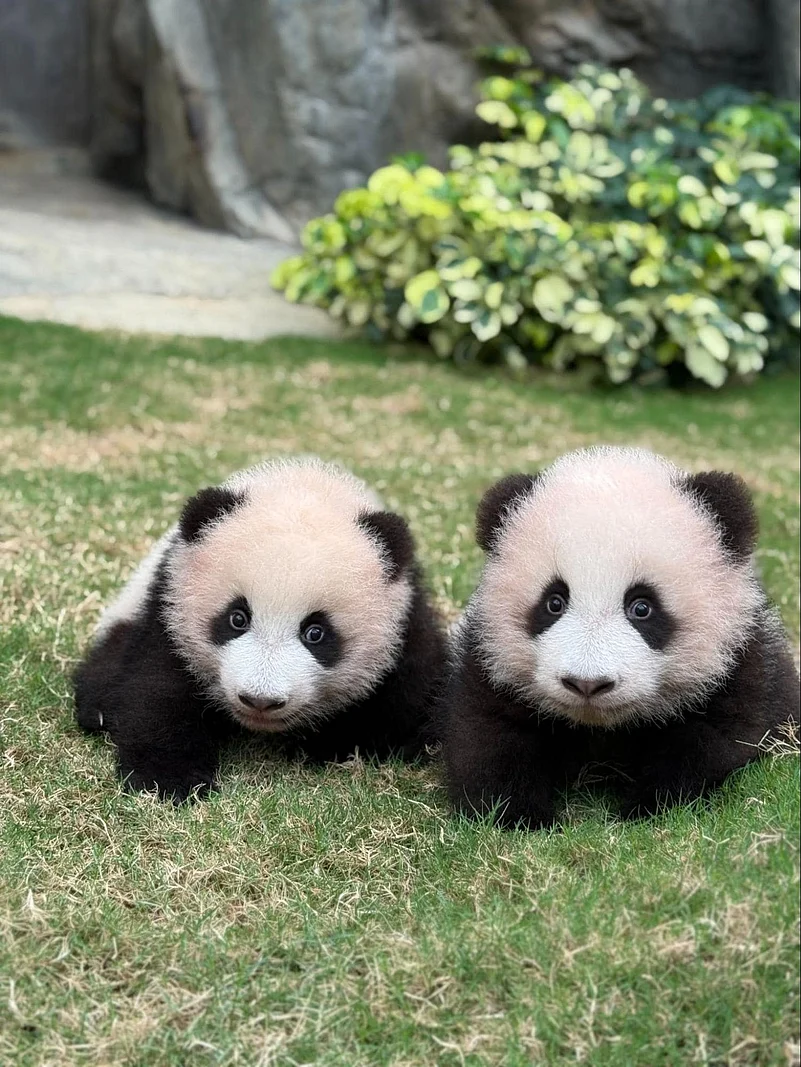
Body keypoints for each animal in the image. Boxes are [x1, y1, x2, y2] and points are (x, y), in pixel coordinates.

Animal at [75, 457, 447, 801]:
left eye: (316, 632)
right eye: (237, 618)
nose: (260, 700)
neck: (304, 483)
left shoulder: (404, 623)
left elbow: (400, 714)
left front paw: (320, 744)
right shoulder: (169, 601)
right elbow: (156, 688)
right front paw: (170, 779)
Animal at [440, 446, 800, 828]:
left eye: (642, 607)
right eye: (554, 602)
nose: (587, 684)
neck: (601, 728)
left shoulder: (743, 664)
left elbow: (714, 740)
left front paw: (649, 807)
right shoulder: (489, 661)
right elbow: (488, 734)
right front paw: (518, 814)